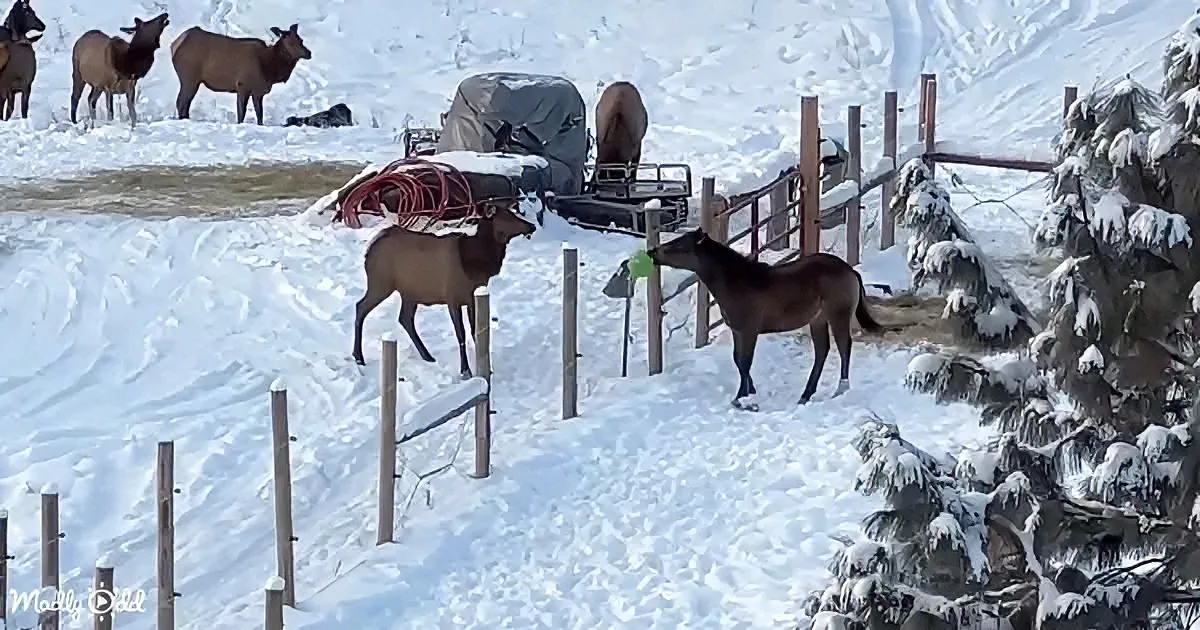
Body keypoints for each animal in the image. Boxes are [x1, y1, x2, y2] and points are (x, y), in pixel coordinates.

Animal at [648, 227, 882, 411]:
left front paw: (746, 400)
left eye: (679, 245)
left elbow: (745, 362)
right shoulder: (737, 331)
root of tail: (850, 270)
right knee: (822, 351)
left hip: (838, 315)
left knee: (843, 347)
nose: (652, 252)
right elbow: (738, 360)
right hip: (817, 320)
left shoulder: (749, 331)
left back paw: (840, 389)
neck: (737, 282)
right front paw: (746, 394)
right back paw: (805, 395)